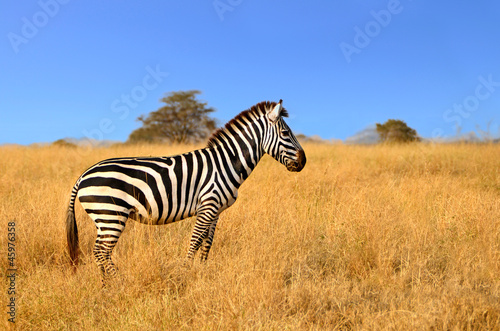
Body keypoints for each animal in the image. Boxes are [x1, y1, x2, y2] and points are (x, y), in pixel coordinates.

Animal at [66, 100, 304, 282]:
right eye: (285, 132)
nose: (304, 162)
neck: (226, 162)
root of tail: (83, 175)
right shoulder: (208, 205)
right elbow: (195, 240)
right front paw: (185, 273)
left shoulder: (215, 210)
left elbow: (207, 243)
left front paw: (203, 273)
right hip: (110, 214)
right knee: (101, 251)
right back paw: (120, 282)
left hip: (104, 217)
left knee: (100, 252)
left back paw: (106, 284)